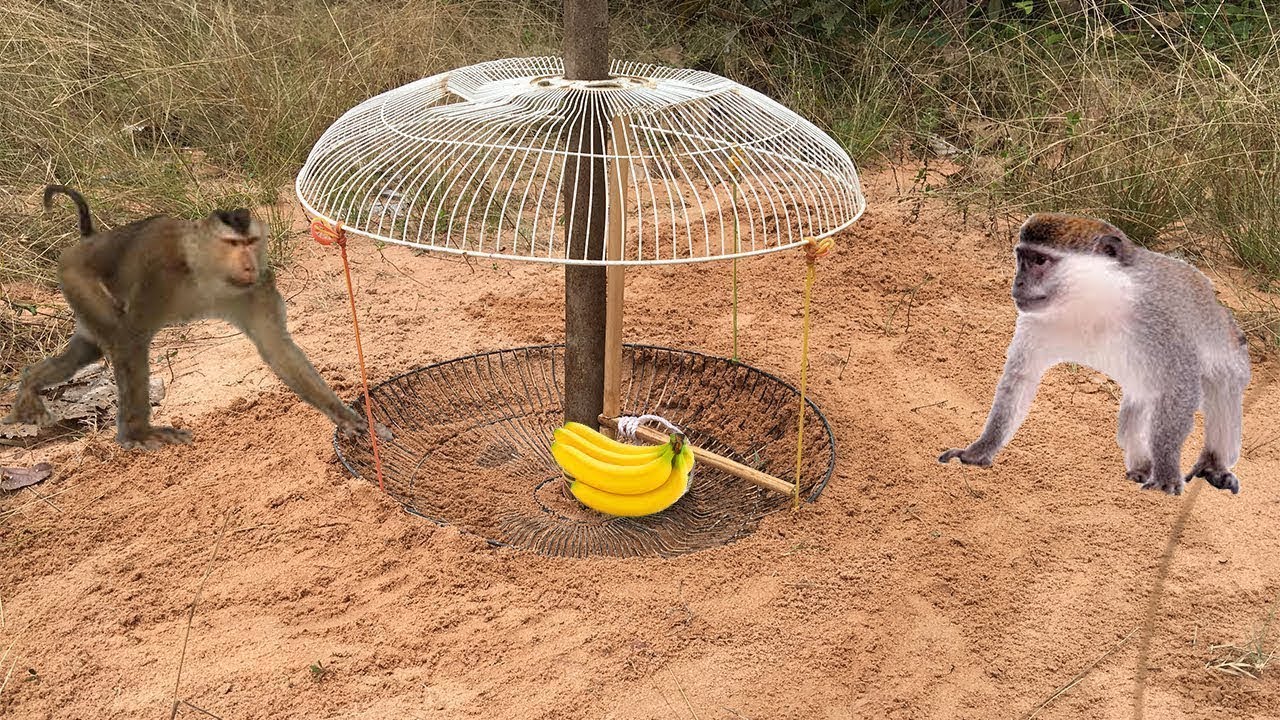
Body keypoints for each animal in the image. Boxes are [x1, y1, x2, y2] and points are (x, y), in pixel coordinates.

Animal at [3, 185, 391, 450]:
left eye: (251, 242)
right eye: (233, 244)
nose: (247, 264)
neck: (207, 271)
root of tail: (86, 242)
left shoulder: (258, 285)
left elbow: (277, 349)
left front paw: (348, 417)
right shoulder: (159, 270)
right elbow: (131, 338)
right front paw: (138, 433)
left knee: (88, 348)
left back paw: (29, 384)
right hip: (75, 276)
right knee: (113, 334)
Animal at [938, 212, 1251, 496]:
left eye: (1039, 261)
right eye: (1022, 258)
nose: (1018, 284)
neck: (1096, 300)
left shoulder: (1159, 321)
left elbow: (1180, 387)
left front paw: (1165, 472)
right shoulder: (1038, 321)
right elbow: (1019, 380)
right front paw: (979, 449)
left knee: (1223, 385)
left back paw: (1213, 465)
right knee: (1134, 413)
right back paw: (1141, 466)